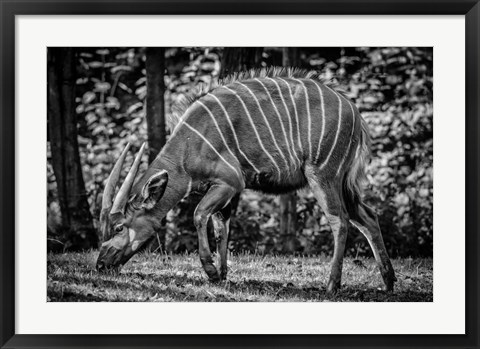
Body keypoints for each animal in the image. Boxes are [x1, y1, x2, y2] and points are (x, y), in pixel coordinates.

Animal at [95, 66, 396, 292]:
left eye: (119, 227)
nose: (100, 265)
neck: (189, 146)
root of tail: (355, 112)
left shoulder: (230, 182)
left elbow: (199, 214)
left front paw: (210, 270)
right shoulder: (228, 190)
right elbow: (221, 224)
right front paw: (222, 273)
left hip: (323, 174)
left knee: (339, 220)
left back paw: (332, 284)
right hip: (343, 182)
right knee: (368, 217)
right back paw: (389, 281)